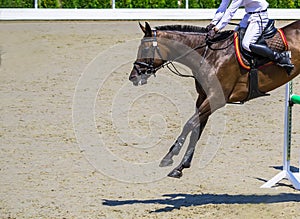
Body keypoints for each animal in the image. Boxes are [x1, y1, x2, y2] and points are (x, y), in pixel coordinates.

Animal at [127, 20, 298, 178]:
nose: (133, 77)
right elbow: (197, 129)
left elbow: (189, 124)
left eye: (145, 48)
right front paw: (181, 166)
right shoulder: (203, 98)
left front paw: (170, 156)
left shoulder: (216, 99)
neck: (209, 55)